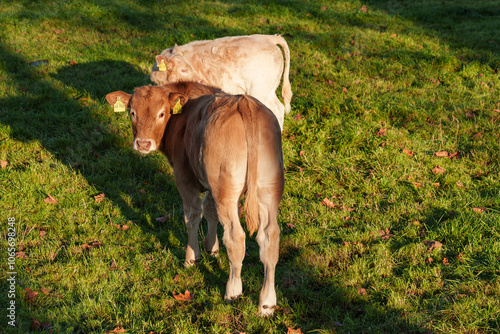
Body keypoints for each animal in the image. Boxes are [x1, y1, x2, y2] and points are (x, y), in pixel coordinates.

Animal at [104, 81, 286, 316]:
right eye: (132, 112)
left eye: (161, 113)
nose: (143, 143)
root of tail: (245, 103)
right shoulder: (210, 185)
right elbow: (209, 210)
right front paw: (212, 247)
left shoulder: (185, 179)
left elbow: (192, 216)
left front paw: (192, 257)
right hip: (267, 190)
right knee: (269, 239)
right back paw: (266, 303)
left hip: (226, 191)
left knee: (236, 238)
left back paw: (233, 291)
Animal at [151, 33, 292, 129]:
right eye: (184, 69)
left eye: (187, 67)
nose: (201, 80)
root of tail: (268, 37)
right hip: (269, 90)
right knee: (279, 109)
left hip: (259, 90)